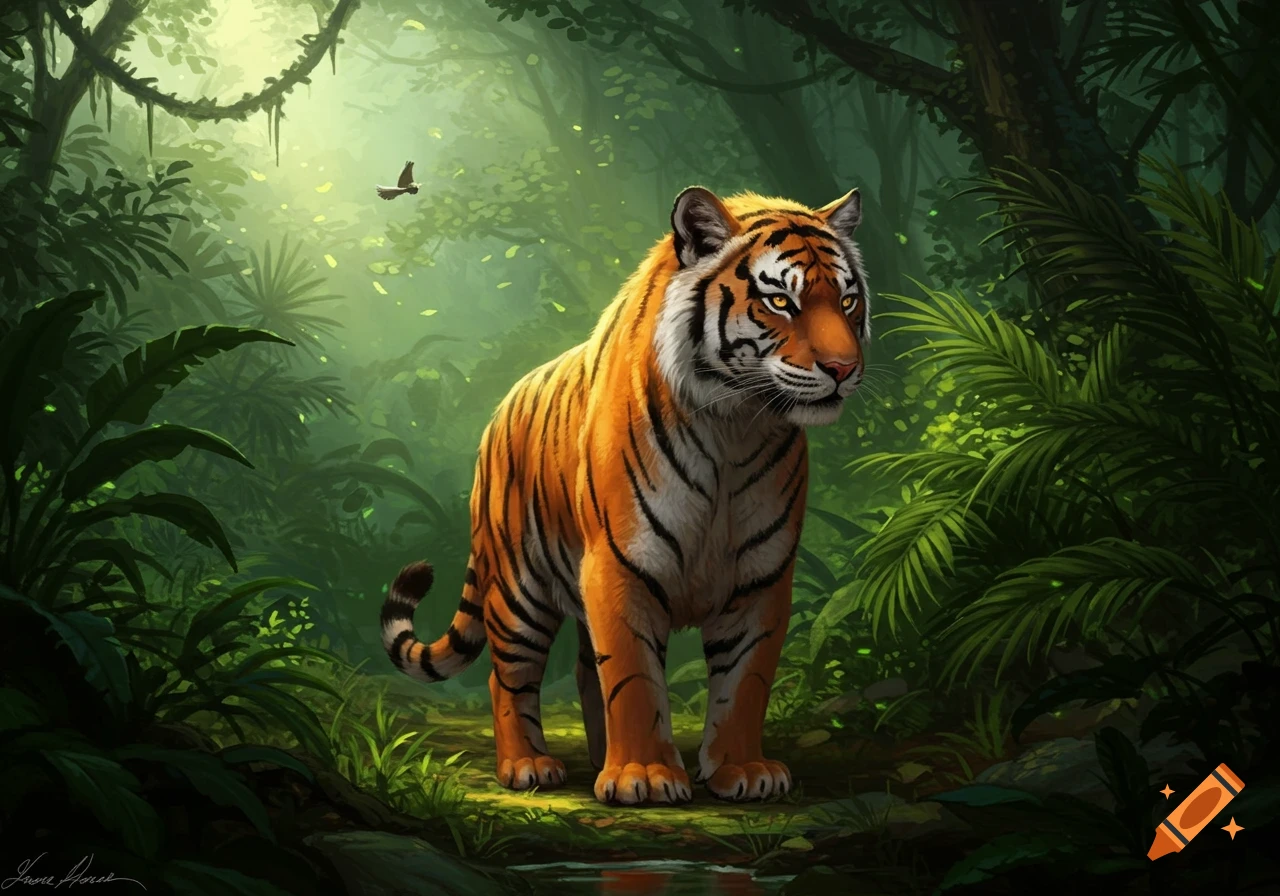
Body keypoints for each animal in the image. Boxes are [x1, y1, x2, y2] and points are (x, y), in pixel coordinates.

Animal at [380, 185, 870, 805]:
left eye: (848, 300)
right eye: (781, 301)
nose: (844, 368)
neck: (735, 427)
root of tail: (500, 408)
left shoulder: (761, 575)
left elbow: (746, 679)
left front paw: (743, 770)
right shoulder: (620, 563)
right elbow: (634, 675)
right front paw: (646, 776)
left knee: (586, 670)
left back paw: (596, 758)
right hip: (518, 587)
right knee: (506, 675)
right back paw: (527, 765)